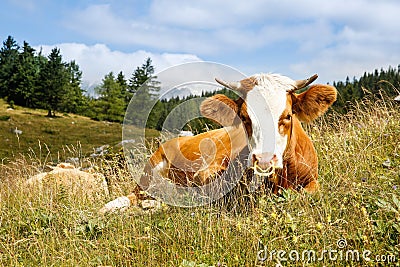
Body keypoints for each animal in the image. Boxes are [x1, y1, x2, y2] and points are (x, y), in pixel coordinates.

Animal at [98, 72, 336, 215]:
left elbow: (304, 193)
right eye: (245, 117)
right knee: (134, 195)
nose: (264, 159)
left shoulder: (313, 180)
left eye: (287, 116)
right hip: (149, 171)